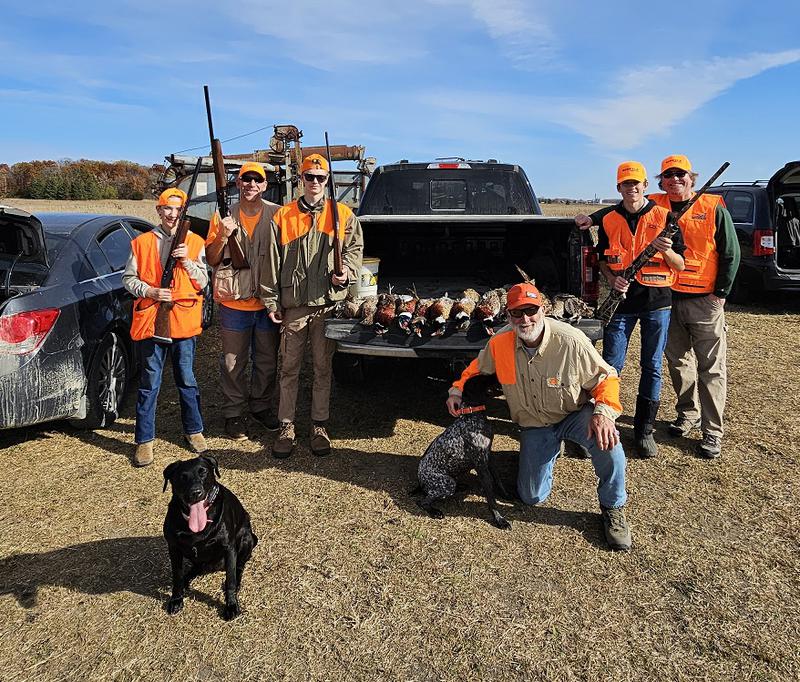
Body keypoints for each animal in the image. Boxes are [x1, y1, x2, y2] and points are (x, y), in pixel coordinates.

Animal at [163, 454, 260, 620]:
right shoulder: (174, 548)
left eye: (203, 472)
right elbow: (177, 576)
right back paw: (187, 580)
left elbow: (231, 580)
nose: (196, 492)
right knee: (195, 569)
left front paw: (231, 606)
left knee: (239, 566)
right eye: (182, 477)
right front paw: (176, 599)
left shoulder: (229, 549)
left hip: (246, 538)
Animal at [416, 372, 510, 524]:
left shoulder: (489, 456)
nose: (497, 374)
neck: (472, 415)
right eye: (483, 378)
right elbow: (491, 497)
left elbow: (498, 479)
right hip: (447, 484)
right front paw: (499, 519)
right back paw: (435, 512)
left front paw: (506, 495)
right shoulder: (481, 466)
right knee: (422, 502)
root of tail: (420, 482)